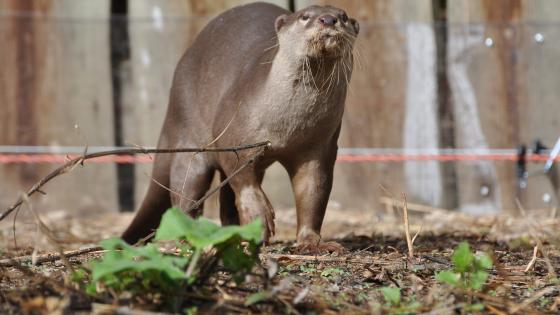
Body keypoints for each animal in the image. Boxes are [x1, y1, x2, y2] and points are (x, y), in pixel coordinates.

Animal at [122, 2, 358, 253]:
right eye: (305, 16)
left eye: (343, 16)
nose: (328, 19)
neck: (288, 127)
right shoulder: (232, 135)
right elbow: (244, 183)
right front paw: (260, 216)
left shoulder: (318, 148)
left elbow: (313, 193)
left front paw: (313, 242)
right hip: (188, 140)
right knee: (185, 191)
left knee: (226, 200)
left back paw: (236, 235)